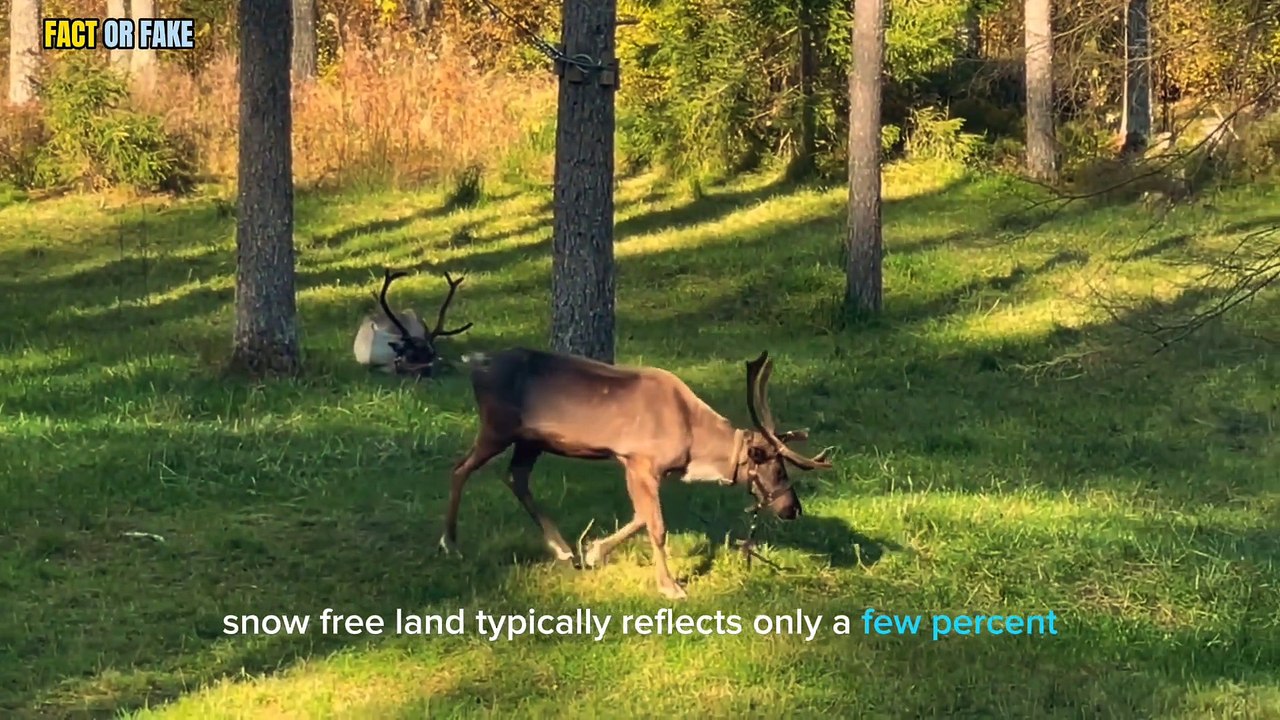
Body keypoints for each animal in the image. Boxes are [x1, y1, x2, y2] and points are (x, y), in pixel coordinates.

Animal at [438, 347, 835, 599]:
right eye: (777, 468)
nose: (793, 509)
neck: (693, 439)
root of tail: (475, 363)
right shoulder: (639, 460)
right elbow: (656, 525)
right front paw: (670, 586)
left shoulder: (641, 467)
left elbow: (640, 516)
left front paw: (594, 552)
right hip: (497, 426)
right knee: (460, 469)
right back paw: (450, 543)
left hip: (530, 439)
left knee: (514, 477)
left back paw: (563, 550)